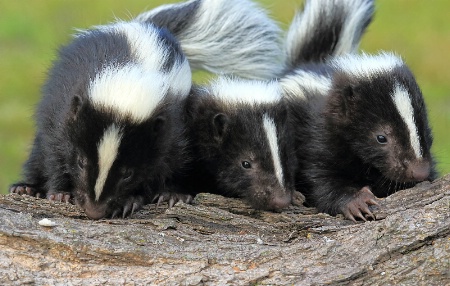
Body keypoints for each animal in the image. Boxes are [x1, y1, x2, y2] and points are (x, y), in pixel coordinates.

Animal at [9, 0, 284, 219]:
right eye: (80, 162)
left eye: (128, 173)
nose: (95, 211)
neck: (125, 72)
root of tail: (139, 26)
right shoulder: (64, 107)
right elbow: (54, 149)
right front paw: (60, 193)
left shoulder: (172, 122)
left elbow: (167, 159)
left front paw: (146, 197)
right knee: (39, 150)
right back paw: (26, 187)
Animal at [284, 52, 438, 221]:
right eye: (381, 138)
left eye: (425, 129)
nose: (419, 171)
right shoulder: (317, 136)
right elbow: (321, 178)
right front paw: (357, 202)